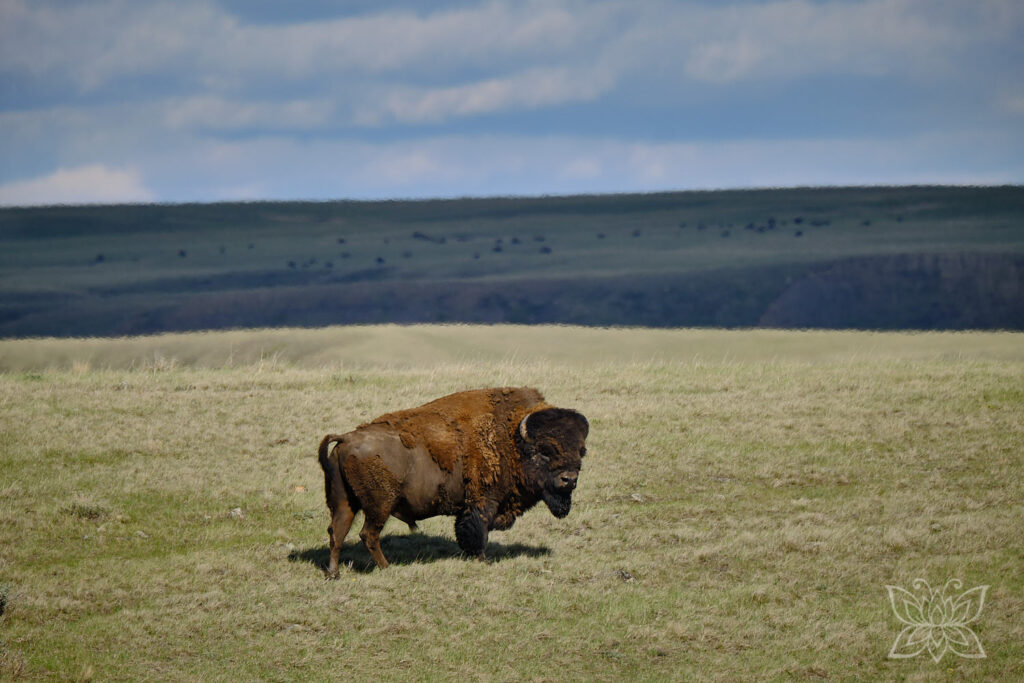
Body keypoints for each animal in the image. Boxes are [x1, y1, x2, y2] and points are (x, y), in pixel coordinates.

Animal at [318, 387, 589, 574]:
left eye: (581, 451)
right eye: (543, 451)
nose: (569, 480)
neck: (510, 439)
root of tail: (346, 438)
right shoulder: (483, 502)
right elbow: (478, 531)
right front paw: (483, 559)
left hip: (344, 502)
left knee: (337, 531)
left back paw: (334, 573)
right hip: (379, 506)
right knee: (368, 535)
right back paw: (386, 567)